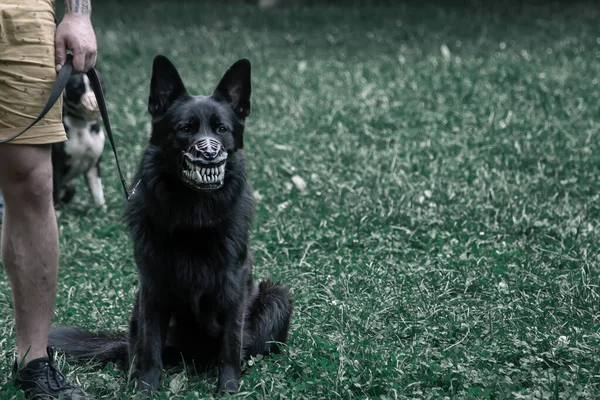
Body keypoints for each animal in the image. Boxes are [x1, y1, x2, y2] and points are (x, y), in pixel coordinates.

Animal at [52, 72, 106, 209]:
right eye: (77, 89)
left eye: (97, 84)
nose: (93, 102)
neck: (81, 124)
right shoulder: (56, 168)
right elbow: (53, 197)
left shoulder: (93, 165)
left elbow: (98, 194)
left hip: (70, 187)